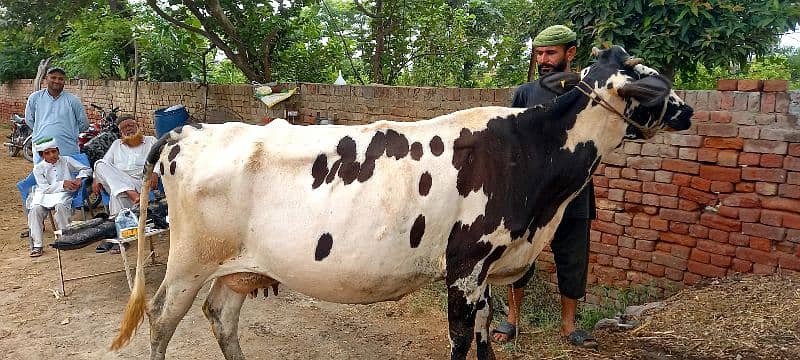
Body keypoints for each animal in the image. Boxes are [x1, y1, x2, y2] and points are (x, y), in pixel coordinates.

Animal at [112, 45, 692, 360]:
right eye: (646, 76)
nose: (687, 110)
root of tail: (188, 129)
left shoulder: (486, 269)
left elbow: (485, 335)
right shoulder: (465, 265)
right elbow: (460, 340)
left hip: (240, 266)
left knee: (221, 314)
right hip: (189, 260)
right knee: (161, 319)